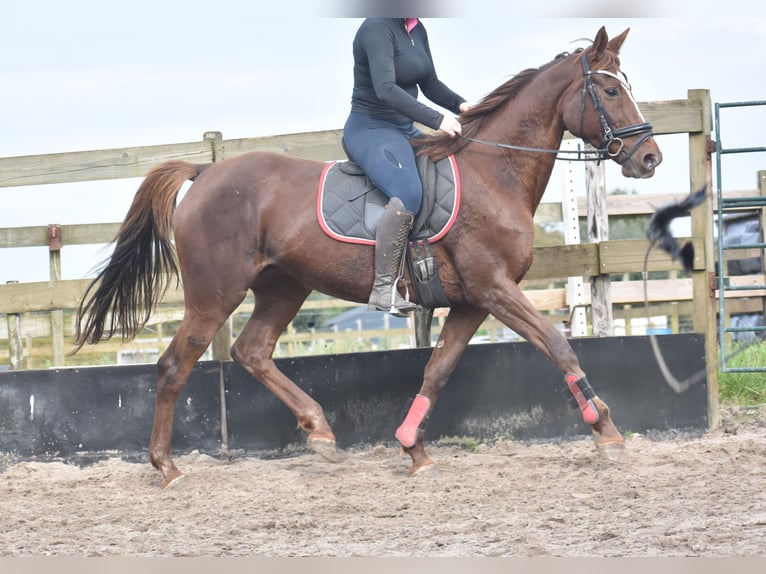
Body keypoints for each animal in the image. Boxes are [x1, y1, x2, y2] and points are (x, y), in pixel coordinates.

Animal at [73, 25, 664, 486]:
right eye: (609, 89)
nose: (650, 157)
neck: (493, 173)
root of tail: (205, 171)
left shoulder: (472, 302)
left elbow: (437, 371)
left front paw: (413, 448)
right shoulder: (495, 287)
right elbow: (560, 347)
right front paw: (607, 432)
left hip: (283, 287)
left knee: (252, 351)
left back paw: (320, 432)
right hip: (214, 295)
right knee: (176, 365)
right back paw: (167, 467)